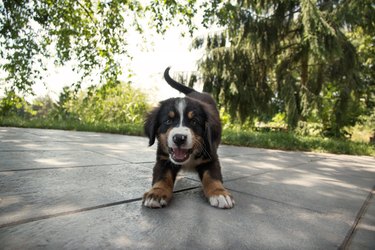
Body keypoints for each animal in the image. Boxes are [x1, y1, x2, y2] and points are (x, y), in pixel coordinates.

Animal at [142, 67, 234, 209]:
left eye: (194, 122)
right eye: (168, 121)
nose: (179, 138)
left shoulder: (211, 157)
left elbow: (212, 177)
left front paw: (219, 193)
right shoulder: (163, 159)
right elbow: (162, 177)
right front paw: (156, 193)